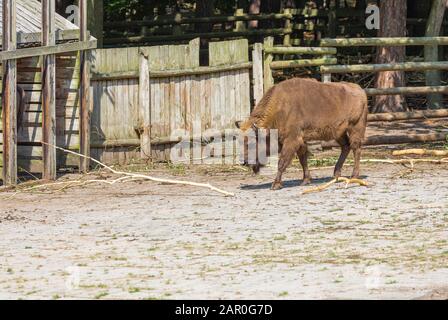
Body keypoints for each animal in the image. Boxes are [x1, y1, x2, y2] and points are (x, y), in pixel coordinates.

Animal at [234, 78, 368, 190]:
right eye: (240, 141)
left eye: (251, 143)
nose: (244, 162)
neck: (280, 108)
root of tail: (360, 90)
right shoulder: (300, 140)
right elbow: (303, 158)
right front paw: (305, 180)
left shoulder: (291, 140)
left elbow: (282, 162)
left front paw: (275, 185)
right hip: (338, 132)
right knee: (346, 146)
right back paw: (336, 175)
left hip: (355, 127)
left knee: (356, 148)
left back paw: (353, 176)